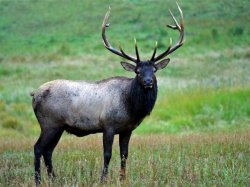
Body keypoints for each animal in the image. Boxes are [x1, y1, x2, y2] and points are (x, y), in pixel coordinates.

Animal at [30, 3, 184, 186]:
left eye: (154, 70)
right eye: (138, 71)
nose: (148, 82)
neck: (131, 107)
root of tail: (34, 95)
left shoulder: (127, 129)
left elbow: (124, 154)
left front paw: (122, 179)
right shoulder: (108, 125)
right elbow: (107, 154)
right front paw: (103, 179)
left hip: (58, 126)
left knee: (48, 151)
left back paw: (54, 179)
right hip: (49, 123)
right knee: (38, 148)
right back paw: (38, 180)